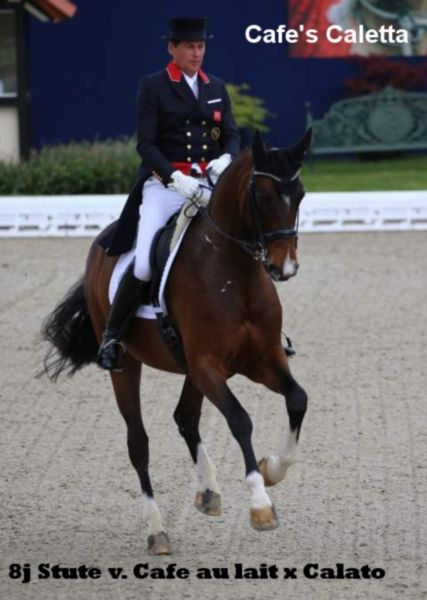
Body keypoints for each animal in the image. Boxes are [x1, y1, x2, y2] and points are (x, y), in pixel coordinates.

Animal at [41, 129, 311, 556]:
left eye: (299, 194)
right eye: (265, 196)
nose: (285, 268)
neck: (236, 275)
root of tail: (102, 243)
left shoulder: (260, 360)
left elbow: (298, 399)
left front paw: (273, 469)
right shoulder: (208, 364)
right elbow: (240, 420)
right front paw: (260, 504)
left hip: (191, 368)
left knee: (185, 417)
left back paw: (208, 491)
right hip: (128, 366)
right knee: (139, 443)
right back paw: (158, 532)